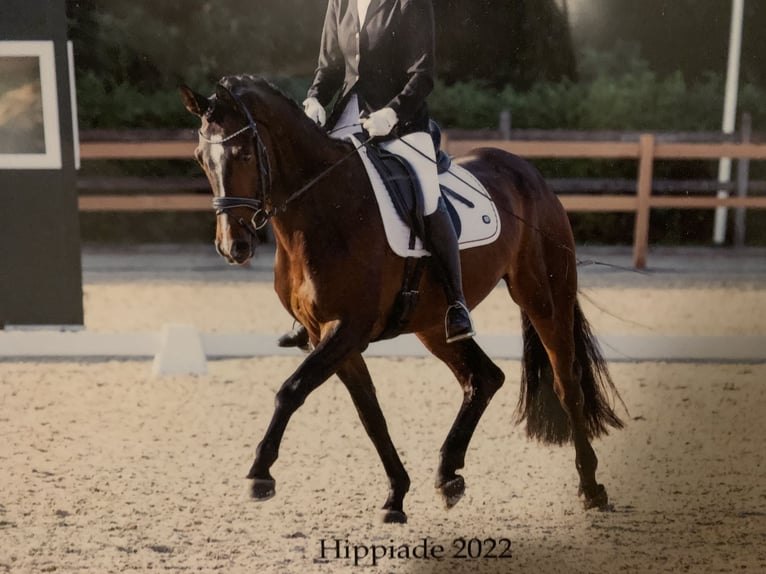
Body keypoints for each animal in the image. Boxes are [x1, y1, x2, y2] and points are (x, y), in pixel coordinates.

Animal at [180, 75, 624, 523]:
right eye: (201, 158)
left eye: (243, 153)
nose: (232, 247)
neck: (325, 209)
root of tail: (528, 171)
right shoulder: (327, 333)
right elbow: (370, 414)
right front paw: (396, 495)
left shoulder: (349, 328)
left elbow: (292, 389)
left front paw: (260, 473)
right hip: (434, 323)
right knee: (483, 378)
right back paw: (449, 475)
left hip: (543, 297)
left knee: (566, 383)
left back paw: (591, 487)